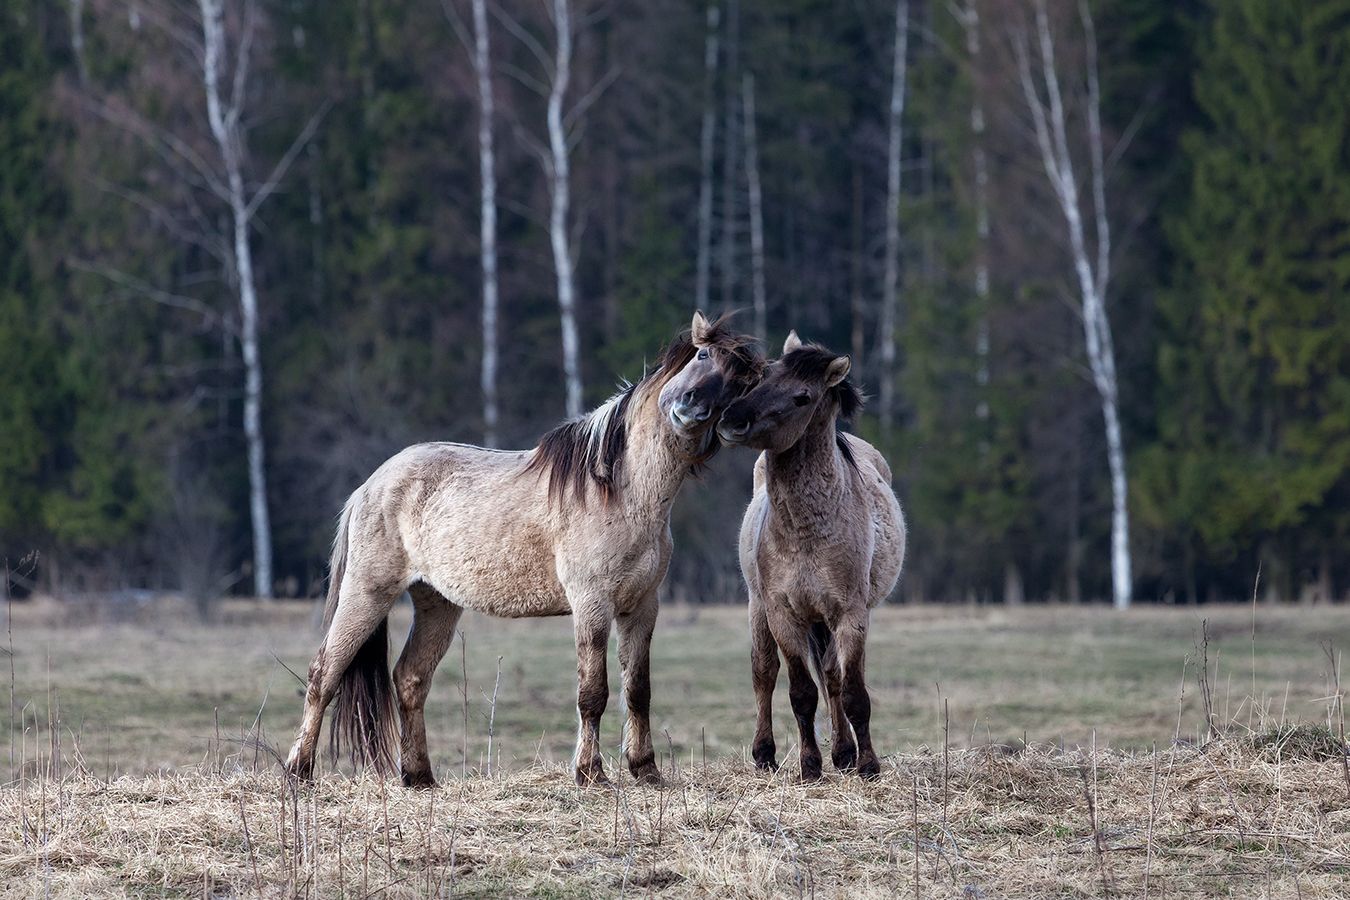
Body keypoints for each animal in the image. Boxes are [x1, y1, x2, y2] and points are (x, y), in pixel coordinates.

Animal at [283, 313, 763, 787]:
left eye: (742, 384)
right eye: (702, 356)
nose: (690, 407)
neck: (622, 491)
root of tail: (371, 484)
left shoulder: (642, 607)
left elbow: (638, 689)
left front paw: (646, 770)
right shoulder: (592, 604)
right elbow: (593, 692)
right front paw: (590, 773)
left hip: (436, 602)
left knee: (410, 678)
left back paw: (419, 777)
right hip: (367, 592)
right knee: (323, 673)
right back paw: (298, 772)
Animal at [716, 331, 905, 780]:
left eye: (803, 396)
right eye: (762, 378)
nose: (732, 419)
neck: (807, 533)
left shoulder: (850, 614)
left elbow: (852, 692)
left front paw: (865, 764)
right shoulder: (784, 614)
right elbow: (800, 692)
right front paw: (809, 766)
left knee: (834, 677)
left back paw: (844, 752)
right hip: (758, 609)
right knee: (764, 674)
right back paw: (765, 754)